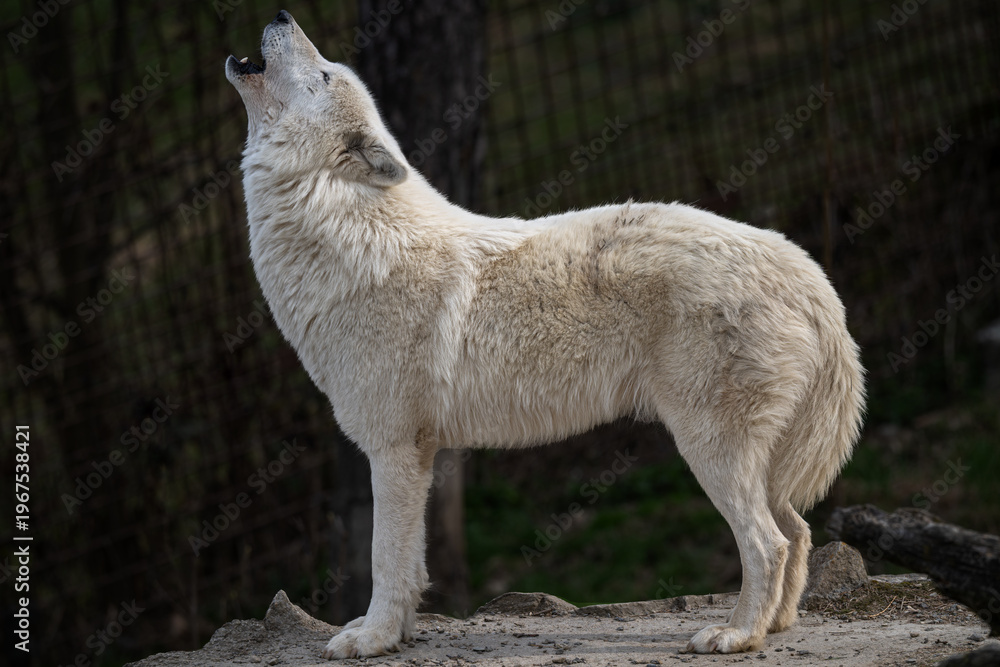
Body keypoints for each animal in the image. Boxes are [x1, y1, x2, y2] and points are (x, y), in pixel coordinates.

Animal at [225, 10, 865, 659]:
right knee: (798, 530)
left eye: (325, 74)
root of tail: (804, 271)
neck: (344, 228)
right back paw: (775, 626)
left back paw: (736, 634)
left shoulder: (393, 448)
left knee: (769, 542)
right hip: (752, 457)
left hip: (708, 448)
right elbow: (411, 565)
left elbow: (384, 559)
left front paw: (373, 639)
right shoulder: (421, 455)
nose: (282, 15)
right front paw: (395, 633)